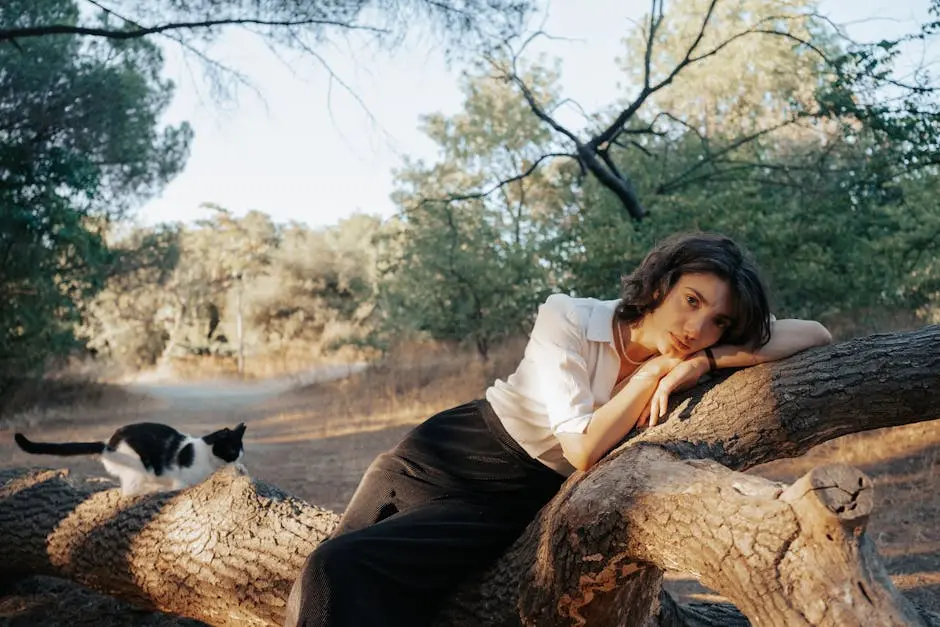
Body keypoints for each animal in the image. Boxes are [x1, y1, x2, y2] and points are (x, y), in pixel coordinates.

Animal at [14, 422, 248, 496]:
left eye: (241, 451)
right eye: (233, 450)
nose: (239, 460)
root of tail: (108, 444)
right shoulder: (183, 480)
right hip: (137, 466)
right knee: (128, 491)